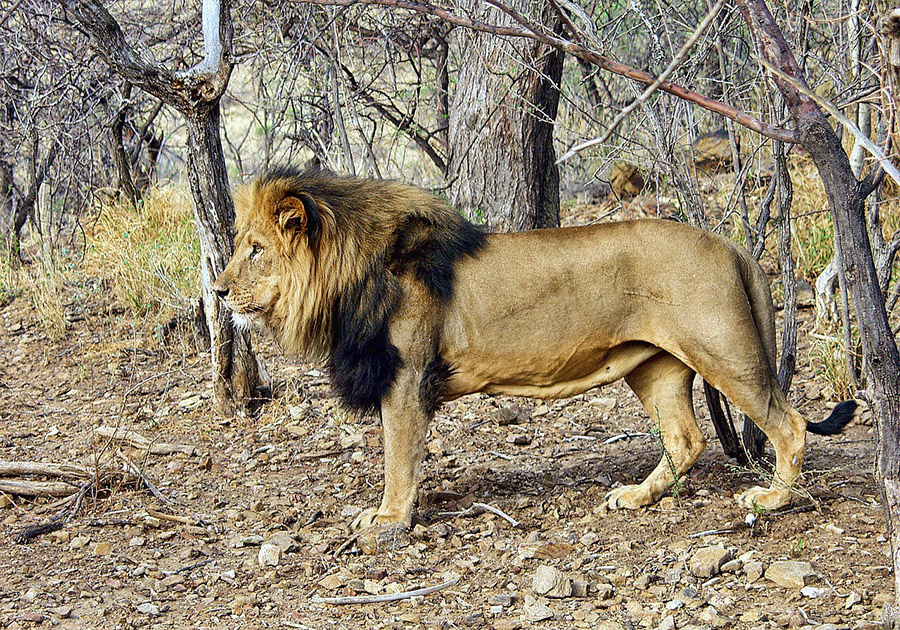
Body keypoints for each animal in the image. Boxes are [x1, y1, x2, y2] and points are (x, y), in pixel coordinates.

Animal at [212, 167, 856, 531]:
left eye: (255, 249)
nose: (216, 291)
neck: (347, 273)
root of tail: (729, 243)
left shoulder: (406, 376)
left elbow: (397, 456)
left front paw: (389, 519)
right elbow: (405, 455)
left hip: (722, 351)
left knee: (789, 422)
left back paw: (772, 499)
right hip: (656, 367)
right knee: (685, 438)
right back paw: (635, 498)